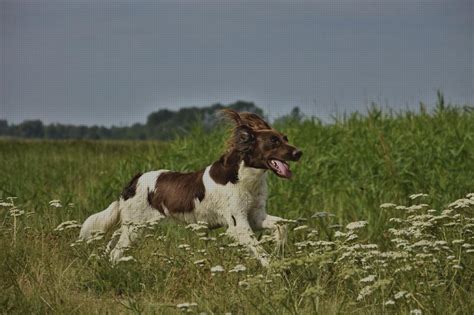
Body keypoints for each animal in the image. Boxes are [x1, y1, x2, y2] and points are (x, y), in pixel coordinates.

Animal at [79, 110, 302, 268]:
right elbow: (261, 251)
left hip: (133, 226)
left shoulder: (256, 216)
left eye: (285, 138)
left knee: (112, 244)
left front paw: (279, 249)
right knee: (116, 252)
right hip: (135, 227)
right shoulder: (238, 223)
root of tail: (133, 181)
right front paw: (275, 269)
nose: (299, 152)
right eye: (273, 141)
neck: (245, 176)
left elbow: (282, 226)